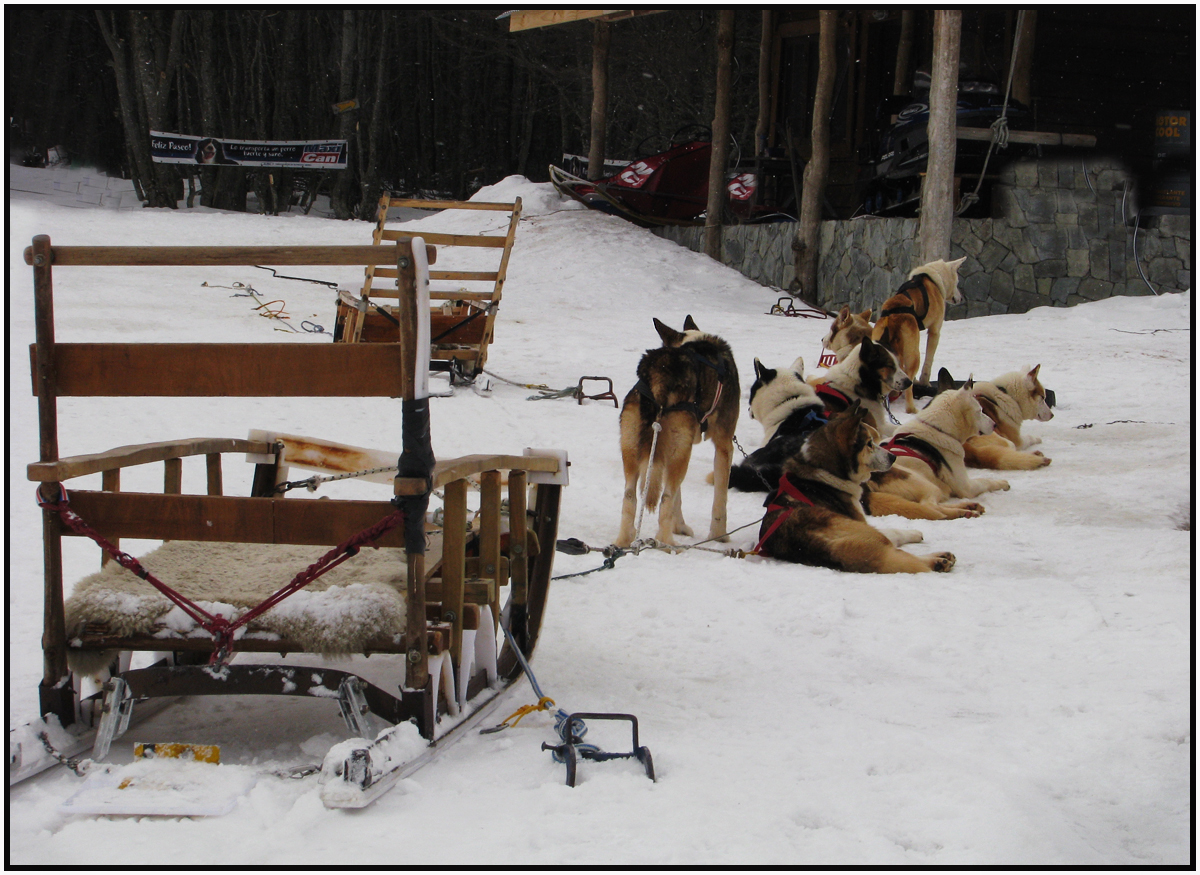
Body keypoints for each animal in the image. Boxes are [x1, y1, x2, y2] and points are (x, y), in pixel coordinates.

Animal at [619, 314, 739, 547]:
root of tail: (659, 370)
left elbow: (677, 500)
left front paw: (680, 527)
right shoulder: (724, 445)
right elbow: (720, 500)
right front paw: (719, 536)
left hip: (636, 447)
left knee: (630, 496)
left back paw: (623, 540)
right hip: (680, 451)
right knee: (666, 497)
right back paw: (667, 544)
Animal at [748, 403, 955, 573]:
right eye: (869, 443)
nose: (893, 457)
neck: (827, 472)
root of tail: (817, 543)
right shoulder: (864, 523)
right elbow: (894, 533)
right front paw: (913, 533)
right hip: (866, 533)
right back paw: (938, 560)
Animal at [864, 381, 1012, 518]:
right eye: (980, 411)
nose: (995, 424)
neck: (937, 429)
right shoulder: (966, 487)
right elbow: (986, 481)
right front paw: (1001, 483)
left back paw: (967, 507)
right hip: (928, 485)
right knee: (931, 508)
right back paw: (961, 512)